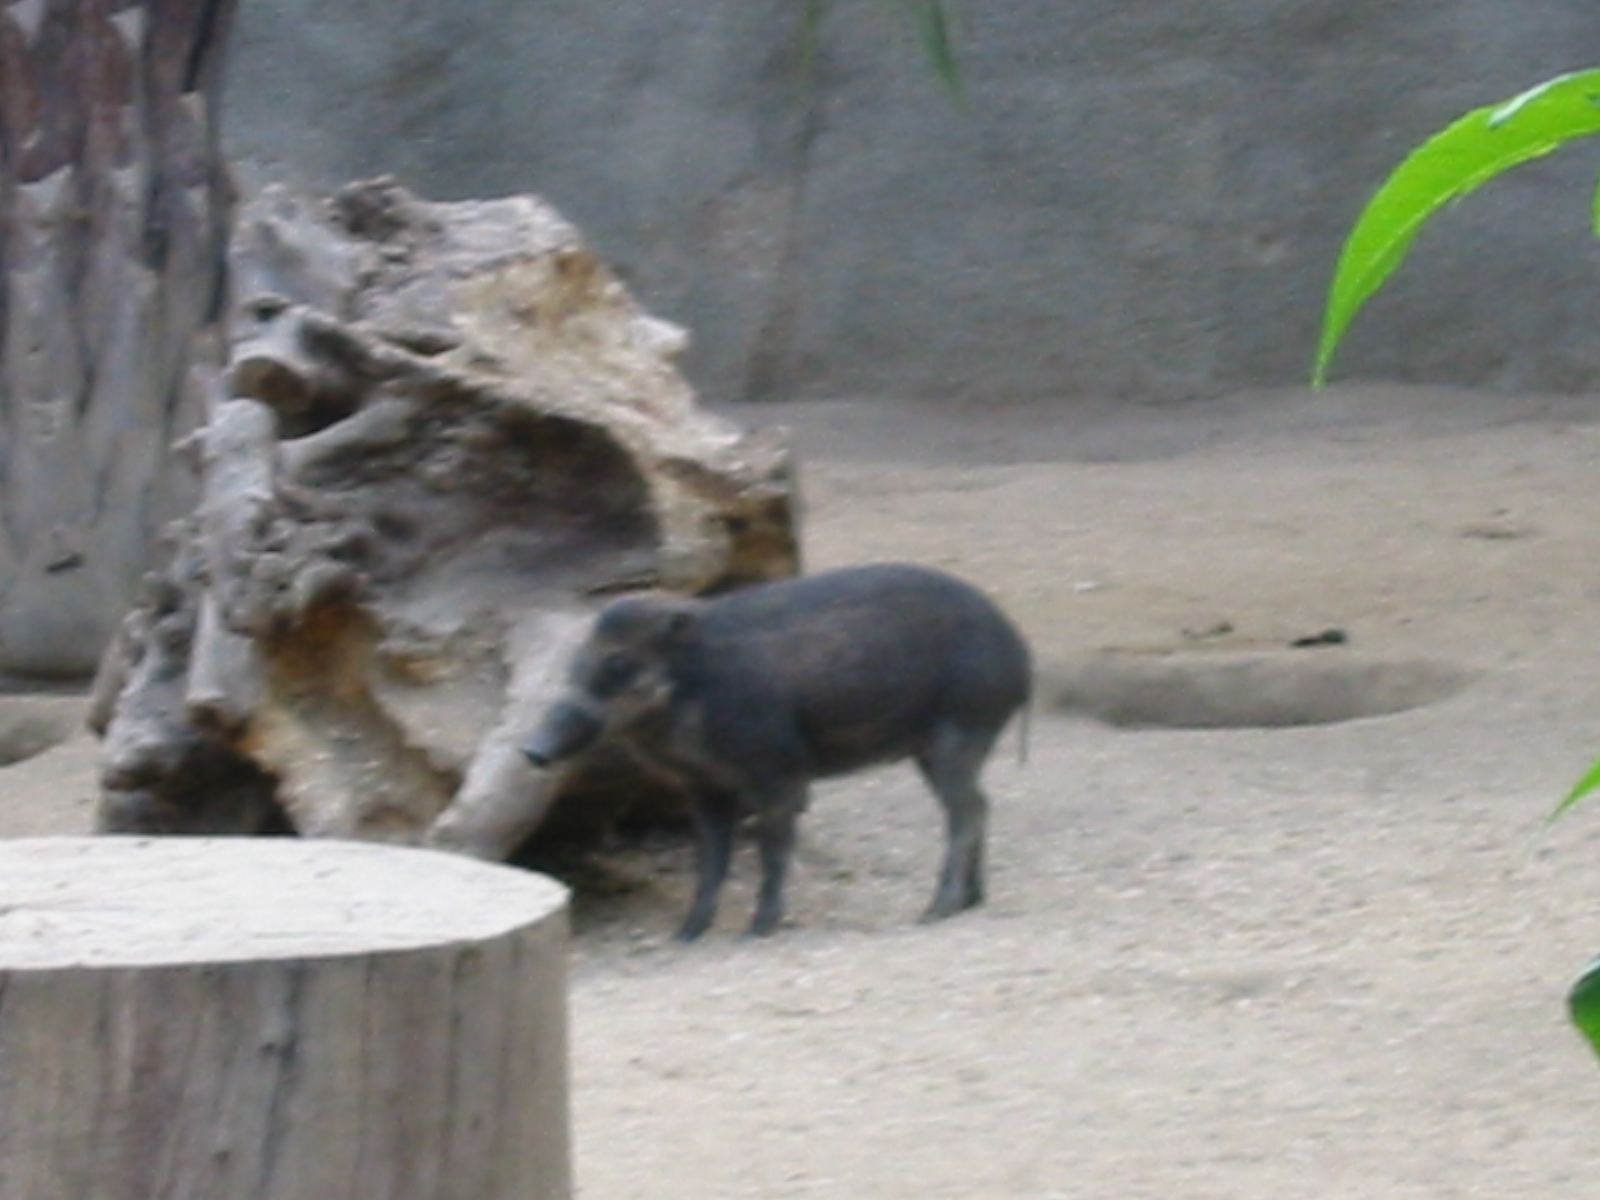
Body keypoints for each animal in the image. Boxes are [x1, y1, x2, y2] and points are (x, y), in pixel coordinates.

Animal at [522, 562, 1031, 940]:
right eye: (574, 665)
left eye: (618, 665)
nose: (532, 751)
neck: (691, 691)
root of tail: (1022, 656)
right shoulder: (704, 787)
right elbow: (712, 856)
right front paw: (686, 934)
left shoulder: (780, 773)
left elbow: (773, 848)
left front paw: (757, 931)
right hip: (937, 748)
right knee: (976, 805)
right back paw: (969, 902)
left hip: (959, 731)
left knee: (970, 810)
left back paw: (935, 912)